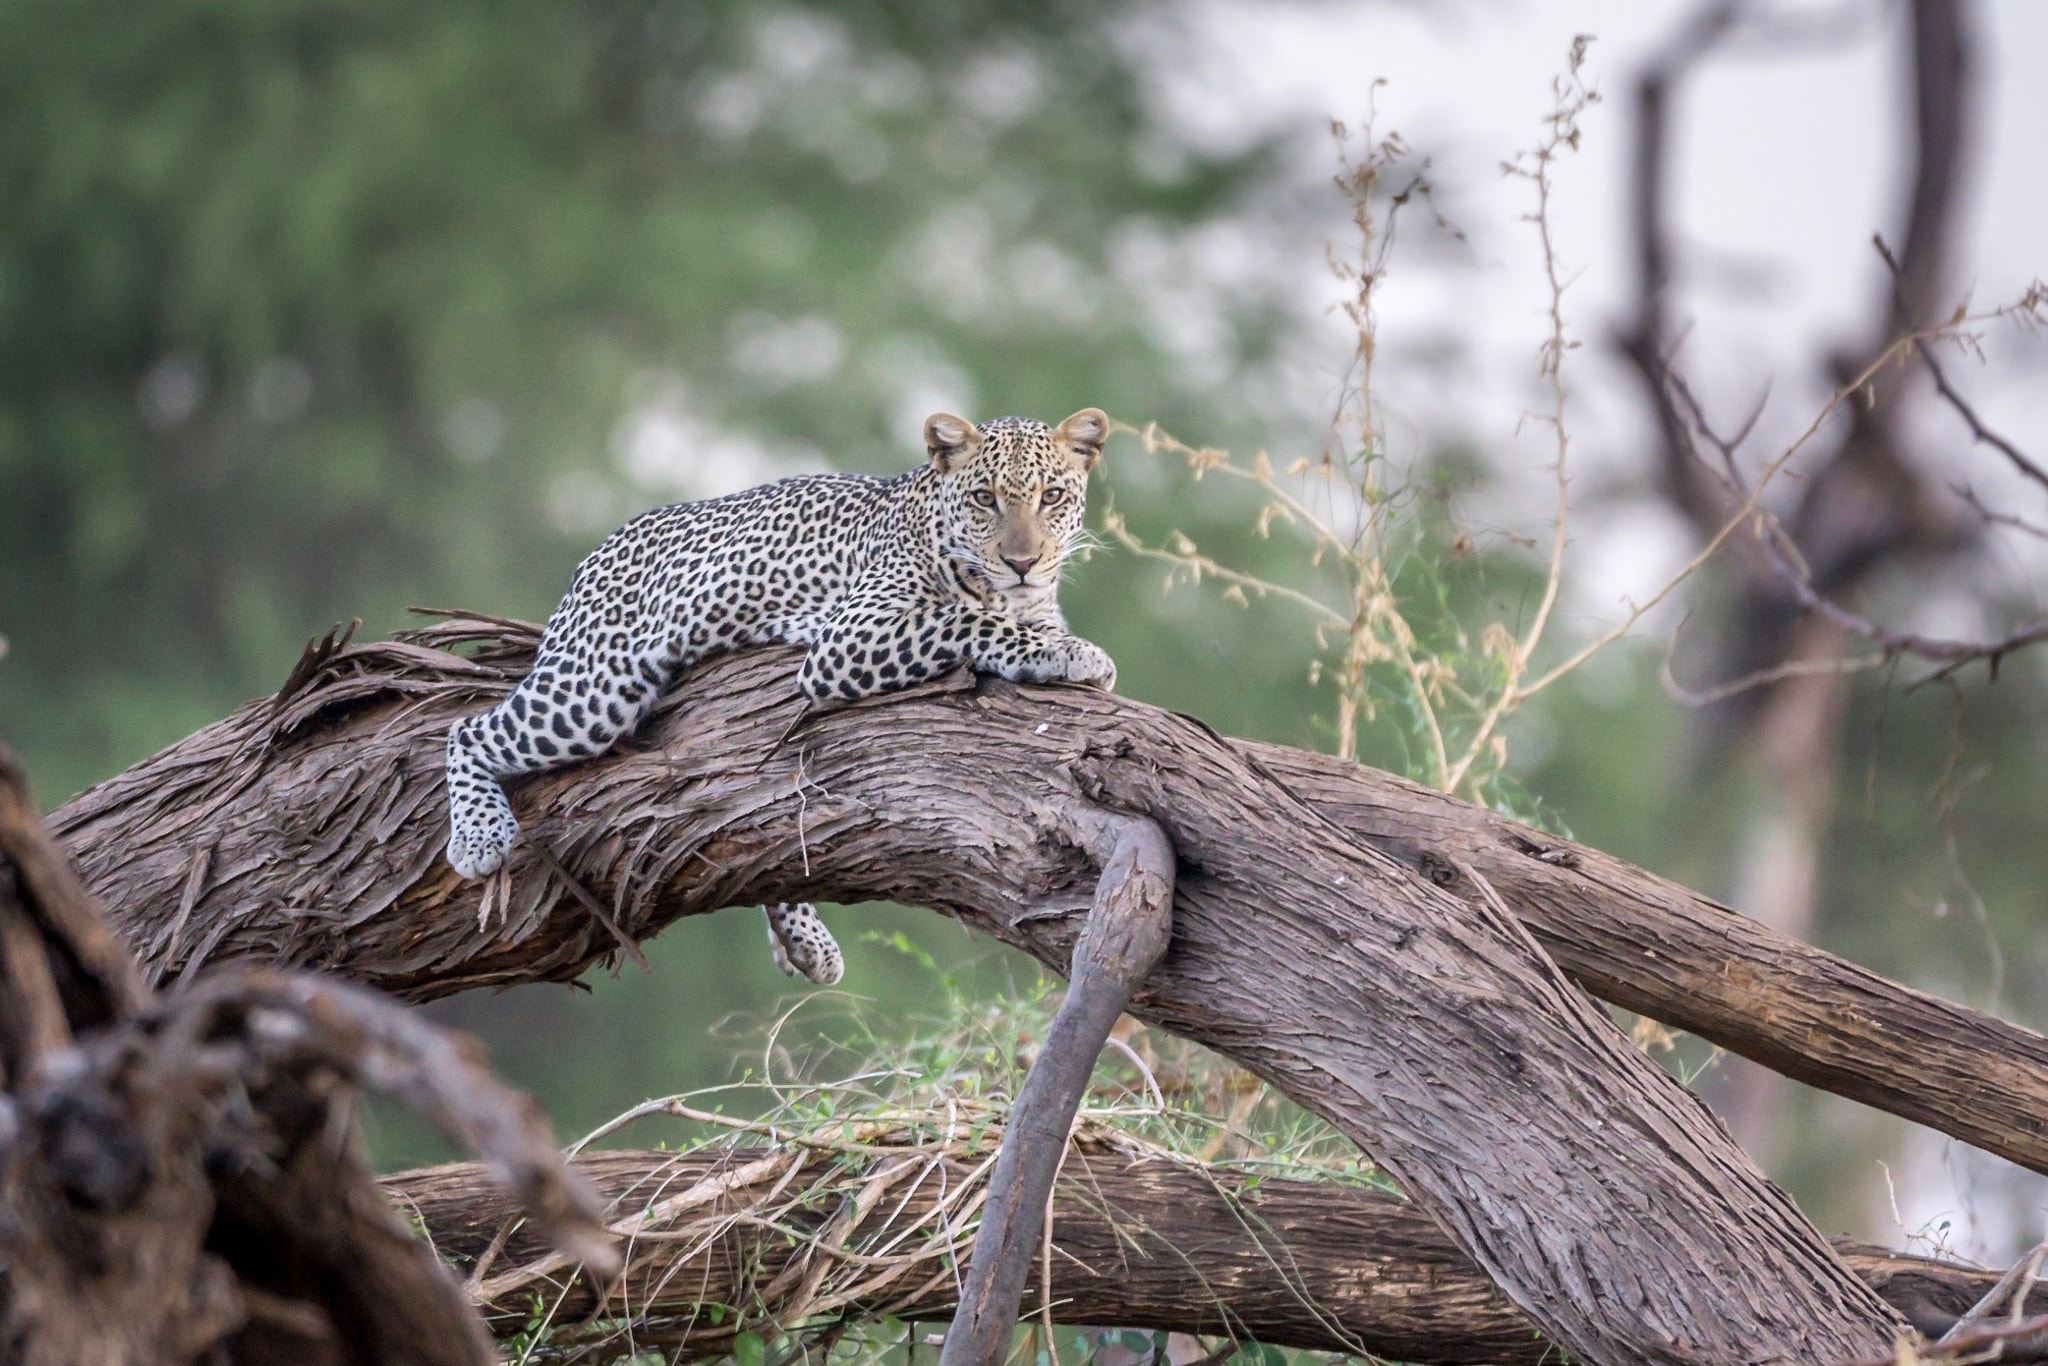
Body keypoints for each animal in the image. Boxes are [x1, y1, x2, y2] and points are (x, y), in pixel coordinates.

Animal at [442, 407, 1117, 984]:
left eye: (1052, 497)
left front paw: (1063, 646)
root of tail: (600, 547)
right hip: (594, 690)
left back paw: (804, 940)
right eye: (984, 499)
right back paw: (478, 836)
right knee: (467, 731)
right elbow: (966, 619)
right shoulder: (849, 637)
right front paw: (1069, 654)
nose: (1023, 561)